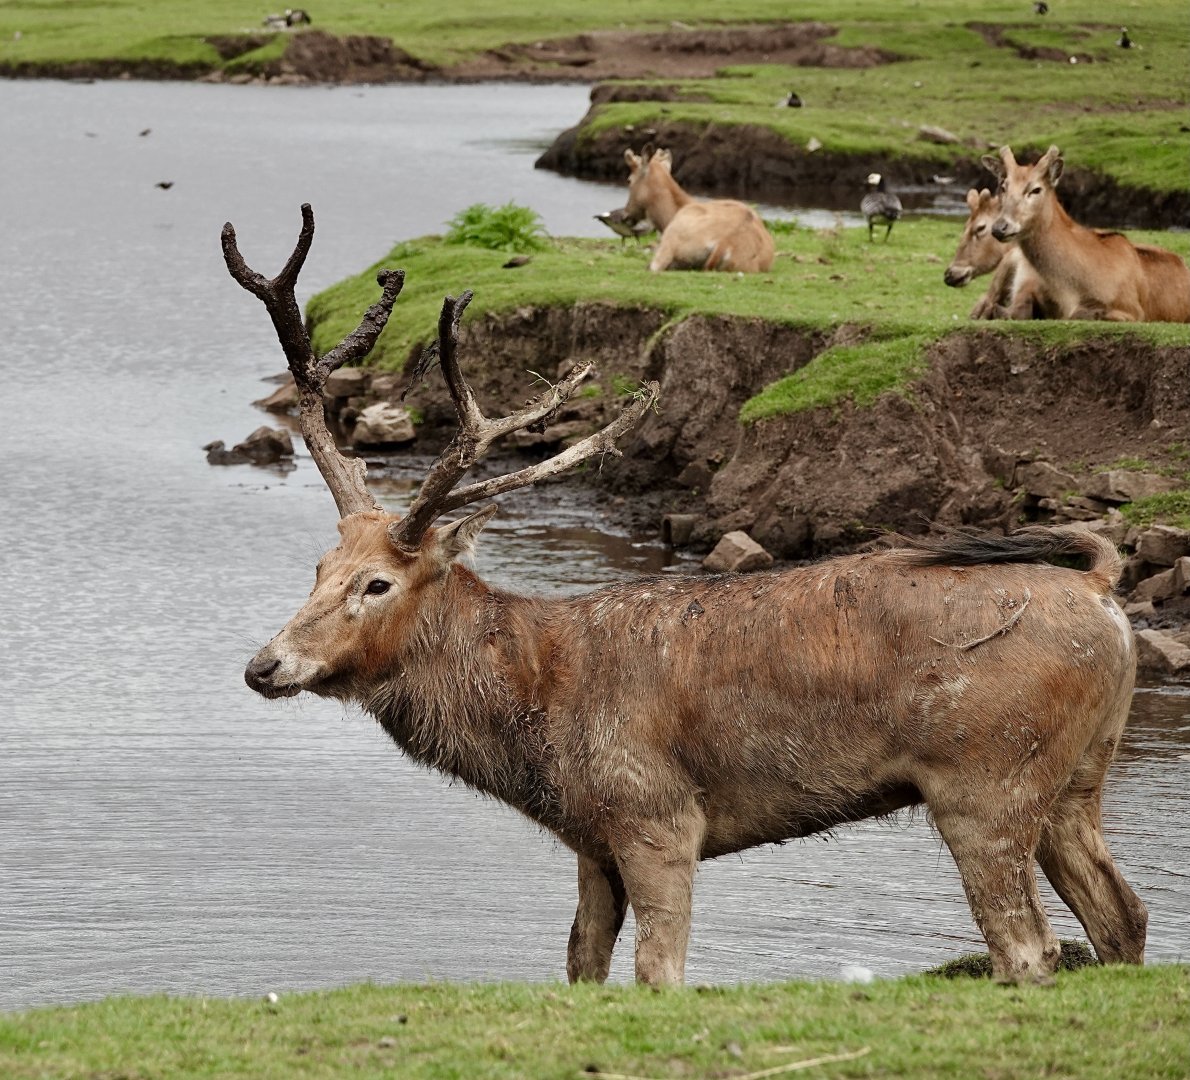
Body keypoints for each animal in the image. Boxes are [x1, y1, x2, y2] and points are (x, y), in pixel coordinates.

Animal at [228, 205, 1146, 987]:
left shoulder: (657, 815)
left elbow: (657, 973)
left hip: (986, 778)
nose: (264, 666)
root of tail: (1103, 589)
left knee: (1027, 946)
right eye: (319, 565)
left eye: (377, 582)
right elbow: (581, 965)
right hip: (1078, 778)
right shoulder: (591, 841)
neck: (536, 717)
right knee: (1123, 918)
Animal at [984, 145, 1190, 322]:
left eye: (1036, 189)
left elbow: (1081, 314)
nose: (1000, 227)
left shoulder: (1132, 310)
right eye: (1003, 186)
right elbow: (1005, 310)